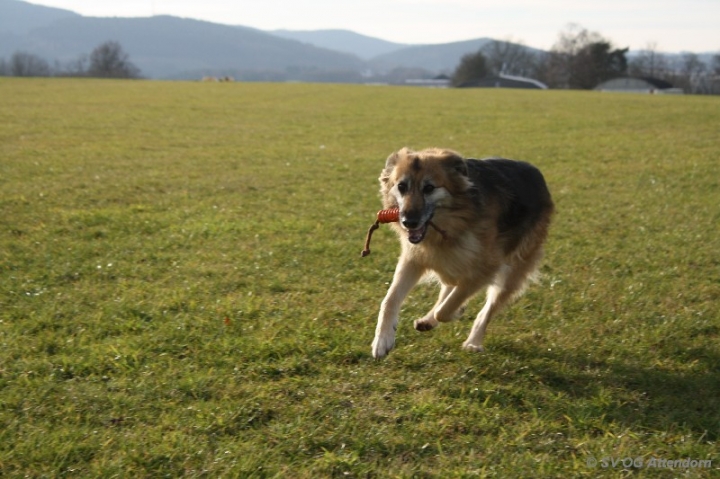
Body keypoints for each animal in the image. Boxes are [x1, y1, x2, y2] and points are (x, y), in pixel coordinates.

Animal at [368, 148, 556, 358]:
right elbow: (390, 300)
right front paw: (383, 340)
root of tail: (536, 172)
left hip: (511, 272)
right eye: (401, 186)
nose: (409, 222)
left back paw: (473, 341)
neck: (454, 221)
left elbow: (447, 307)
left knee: (485, 310)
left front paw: (456, 311)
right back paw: (428, 320)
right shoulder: (414, 259)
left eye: (429, 188)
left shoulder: (486, 269)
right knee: (449, 285)